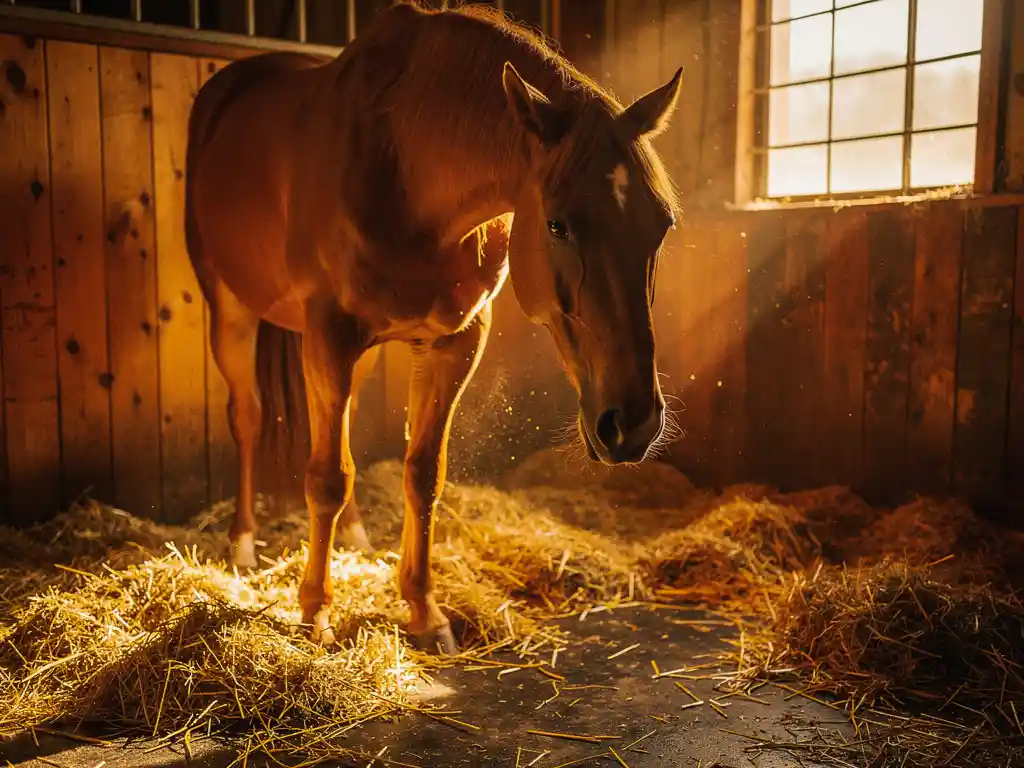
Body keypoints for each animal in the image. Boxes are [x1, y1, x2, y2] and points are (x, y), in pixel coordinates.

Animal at [184, 0, 682, 654]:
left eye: (662, 224)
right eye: (557, 225)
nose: (632, 425)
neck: (402, 164)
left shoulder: (453, 342)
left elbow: (421, 474)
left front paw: (424, 611)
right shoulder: (330, 335)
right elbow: (326, 477)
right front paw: (315, 612)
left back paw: (355, 537)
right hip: (231, 310)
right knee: (247, 417)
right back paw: (242, 545)